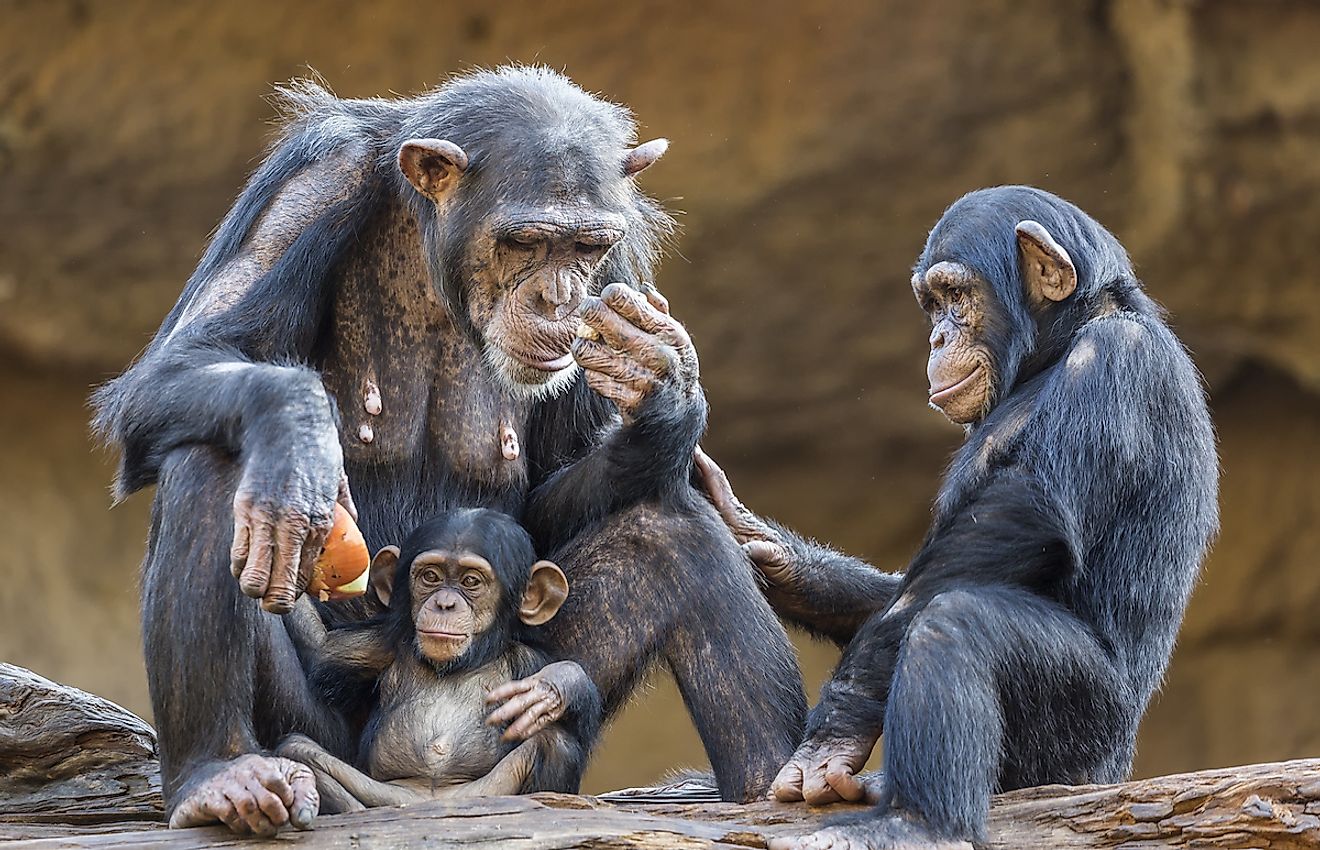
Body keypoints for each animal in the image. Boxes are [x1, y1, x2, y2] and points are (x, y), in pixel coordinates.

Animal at [277, 506, 604, 813]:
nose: (444, 603)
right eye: (430, 577)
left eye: (471, 581)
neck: (462, 663)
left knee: (555, 744)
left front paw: (556, 686)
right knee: (299, 751)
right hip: (392, 796)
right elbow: (321, 651)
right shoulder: (379, 644)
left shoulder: (529, 660)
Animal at [696, 187, 1219, 849]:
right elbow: (907, 582)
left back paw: (917, 824)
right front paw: (757, 542)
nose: (938, 339)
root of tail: (1114, 769)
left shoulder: (1113, 362)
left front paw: (837, 728)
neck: (1061, 344)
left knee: (955, 621)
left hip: (1084, 736)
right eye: (932, 304)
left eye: (957, 295)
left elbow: (1026, 513)